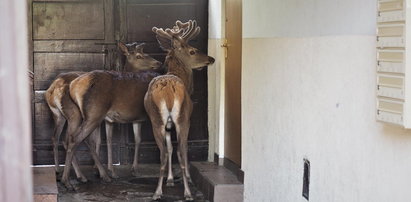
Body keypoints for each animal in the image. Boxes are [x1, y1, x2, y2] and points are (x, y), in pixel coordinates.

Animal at [45, 42, 161, 183]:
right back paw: (81, 176)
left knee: (56, 138)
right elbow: (101, 140)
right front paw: (106, 170)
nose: (158, 62)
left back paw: (59, 170)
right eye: (139, 56)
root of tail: (53, 89)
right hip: (80, 114)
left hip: (59, 115)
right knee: (72, 139)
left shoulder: (114, 119)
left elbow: (122, 139)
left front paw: (122, 169)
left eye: (146, 52)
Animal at [144, 19, 216, 200]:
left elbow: (169, 148)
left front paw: (169, 180)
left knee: (163, 153)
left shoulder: (168, 125)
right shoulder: (187, 119)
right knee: (182, 151)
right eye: (192, 51)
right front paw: (186, 180)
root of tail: (169, 92)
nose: (211, 58)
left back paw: (157, 192)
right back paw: (188, 192)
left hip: (156, 120)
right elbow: (181, 150)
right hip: (182, 118)